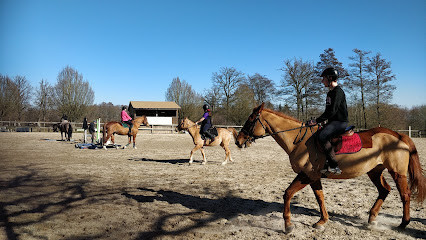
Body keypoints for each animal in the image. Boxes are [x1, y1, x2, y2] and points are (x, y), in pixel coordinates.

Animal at [235, 102, 424, 232]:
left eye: (251, 120)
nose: (238, 140)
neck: (300, 141)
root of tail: (398, 135)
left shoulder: (307, 175)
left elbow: (288, 194)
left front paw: (288, 225)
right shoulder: (313, 177)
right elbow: (320, 198)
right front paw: (322, 221)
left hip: (397, 172)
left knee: (405, 195)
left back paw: (403, 223)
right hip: (374, 171)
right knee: (384, 190)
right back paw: (371, 219)